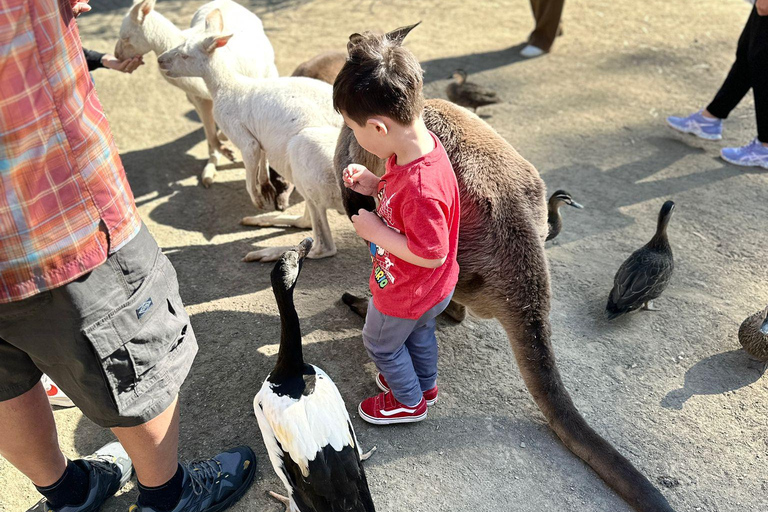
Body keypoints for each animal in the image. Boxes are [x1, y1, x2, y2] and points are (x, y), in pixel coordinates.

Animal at [115, 0, 278, 190]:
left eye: (125, 38)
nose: (117, 56)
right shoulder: (199, 97)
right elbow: (209, 130)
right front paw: (224, 152)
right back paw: (211, 167)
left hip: (267, 69)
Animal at [159, 22, 344, 260]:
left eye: (184, 55)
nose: (159, 60)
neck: (227, 85)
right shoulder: (259, 139)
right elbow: (262, 159)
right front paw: (265, 188)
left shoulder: (239, 132)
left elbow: (249, 161)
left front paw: (257, 199)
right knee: (306, 222)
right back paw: (262, 221)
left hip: (304, 149)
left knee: (324, 246)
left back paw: (269, 252)